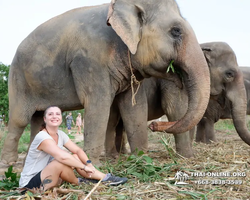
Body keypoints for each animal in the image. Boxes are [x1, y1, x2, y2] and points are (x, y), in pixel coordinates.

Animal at [1, 0, 211, 166]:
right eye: (176, 31)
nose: (154, 126)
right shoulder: (90, 60)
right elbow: (98, 104)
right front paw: (93, 166)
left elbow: (134, 108)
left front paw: (142, 160)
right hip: (17, 79)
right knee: (19, 119)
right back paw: (8, 163)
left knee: (37, 119)